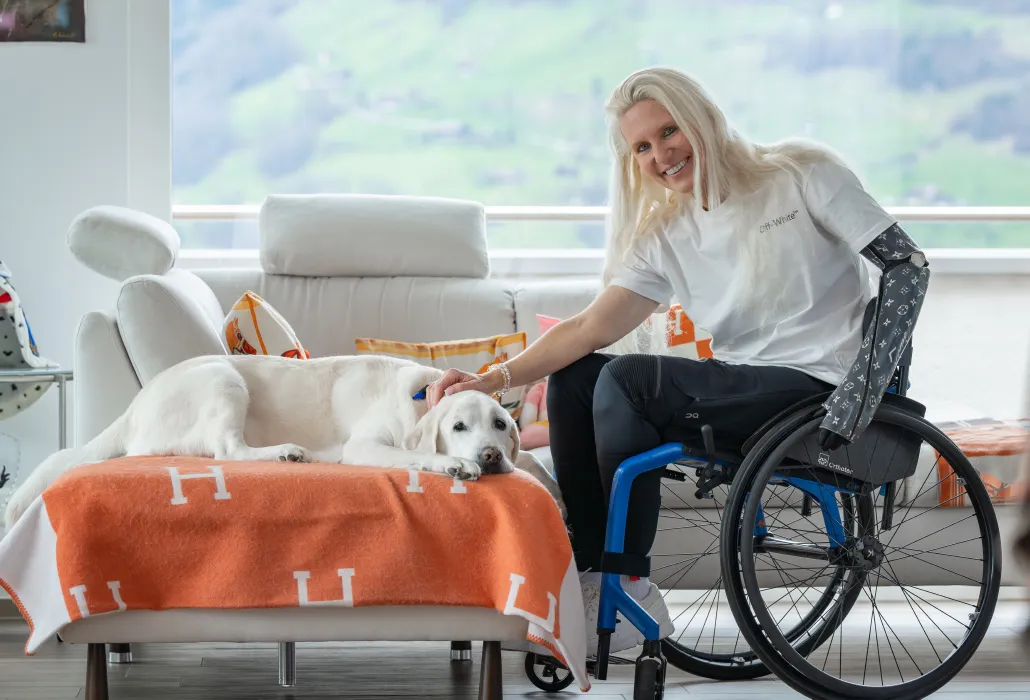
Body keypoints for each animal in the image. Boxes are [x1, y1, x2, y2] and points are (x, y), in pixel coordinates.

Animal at [4, 356, 564, 531]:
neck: (424, 397)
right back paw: (285, 452)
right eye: (459, 428)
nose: (490, 456)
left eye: (500, 425)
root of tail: (132, 407)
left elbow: (535, 463)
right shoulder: (367, 446)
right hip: (224, 379)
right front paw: (453, 466)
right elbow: (417, 453)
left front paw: (549, 485)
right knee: (229, 449)